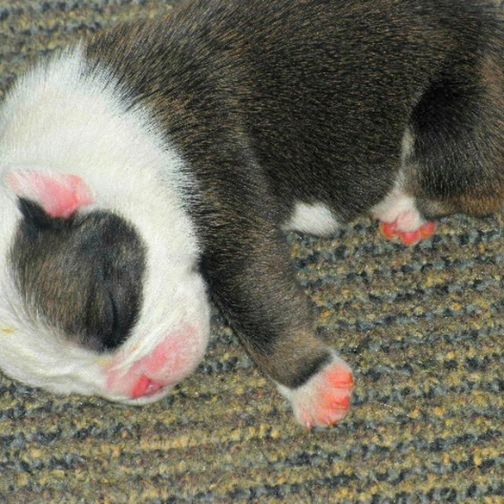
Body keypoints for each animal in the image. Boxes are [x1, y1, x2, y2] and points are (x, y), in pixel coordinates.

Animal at [0, 0, 504, 428]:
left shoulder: (222, 192)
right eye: (61, 382)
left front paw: (314, 386)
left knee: (463, 175)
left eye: (111, 313)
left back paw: (403, 207)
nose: (140, 385)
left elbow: (260, 305)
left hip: (462, 110)